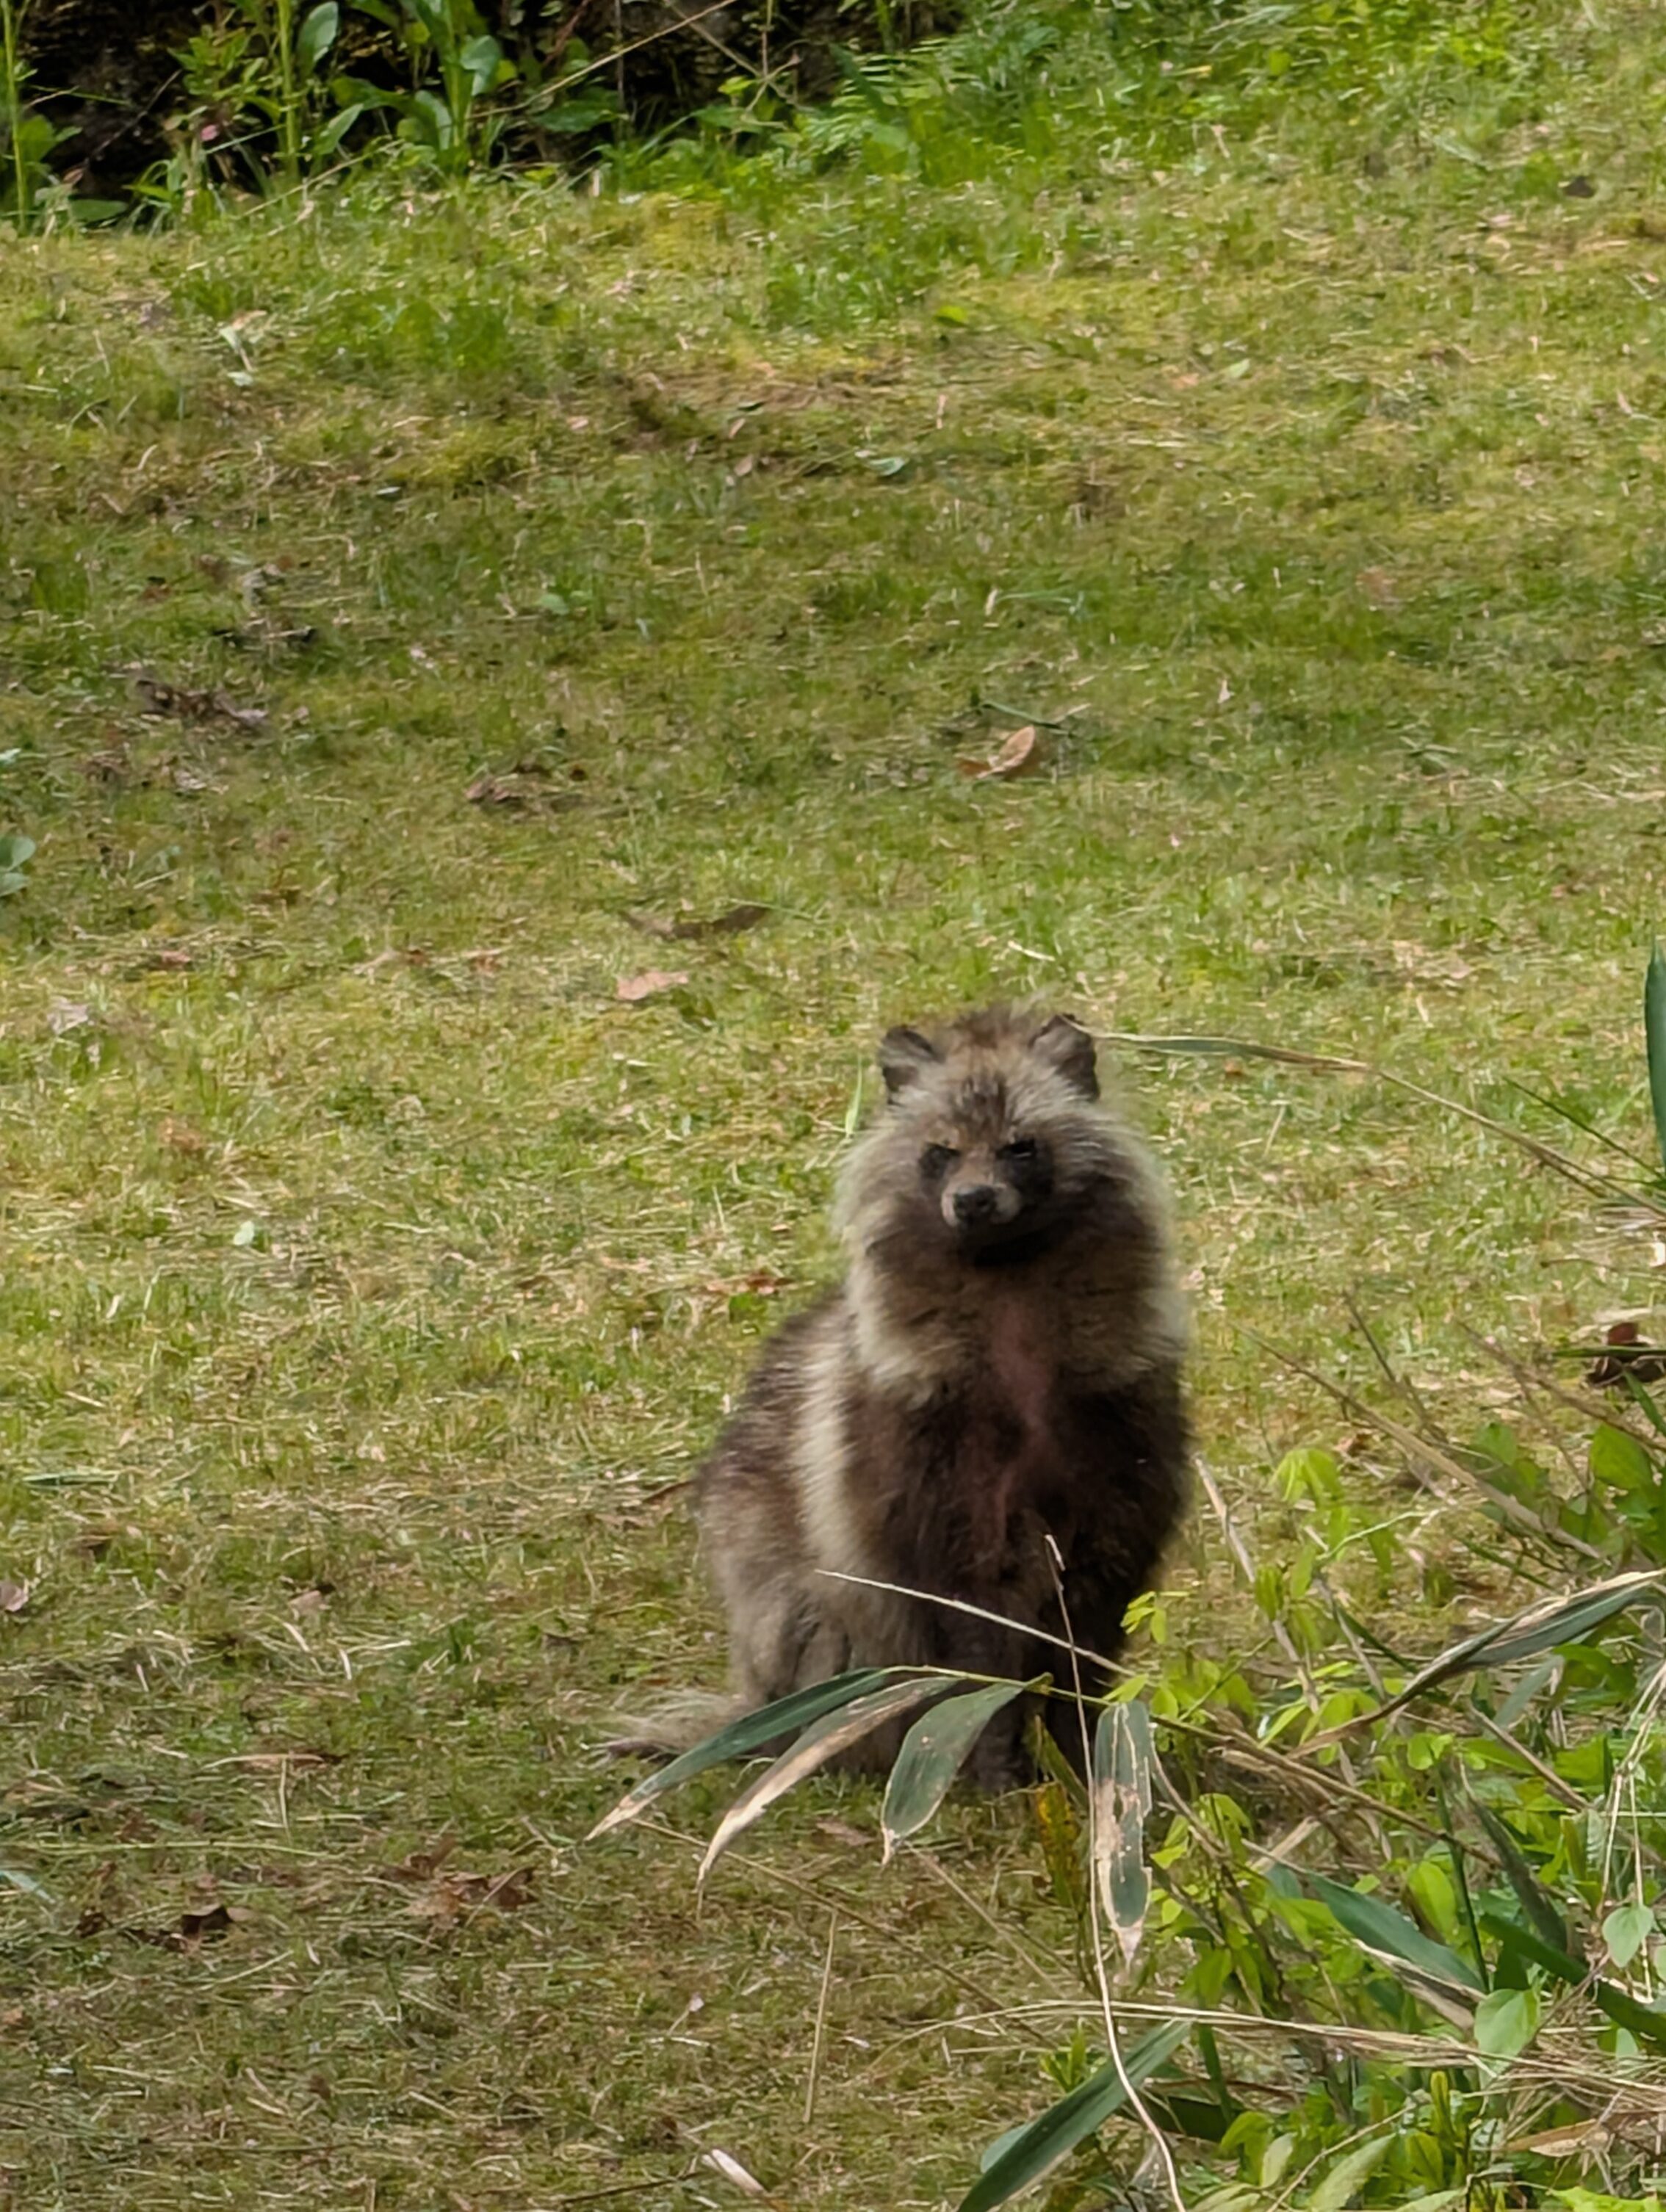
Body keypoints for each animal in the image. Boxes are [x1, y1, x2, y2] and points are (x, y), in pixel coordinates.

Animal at [689, 1007, 1190, 1787]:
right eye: (941, 1152)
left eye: (1020, 1147)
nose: (974, 1199)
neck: (1006, 1272)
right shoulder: (927, 1463)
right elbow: (972, 1630)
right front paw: (995, 1753)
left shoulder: (1119, 1446)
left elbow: (1090, 1620)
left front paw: (1089, 1747)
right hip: (817, 1643)